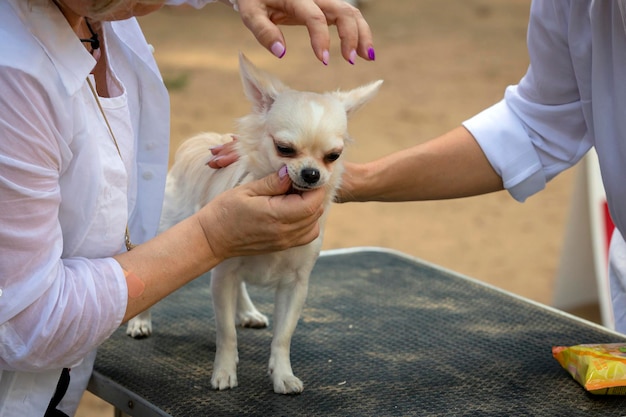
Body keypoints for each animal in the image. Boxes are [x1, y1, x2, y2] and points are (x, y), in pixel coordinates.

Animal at [127, 52, 380, 394]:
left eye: (333, 156)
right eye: (284, 149)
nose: (312, 173)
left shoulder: (295, 285)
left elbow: (283, 337)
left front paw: (283, 375)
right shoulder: (222, 276)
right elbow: (226, 334)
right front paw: (224, 372)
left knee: (242, 286)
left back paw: (246, 310)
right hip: (169, 238)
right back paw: (141, 321)